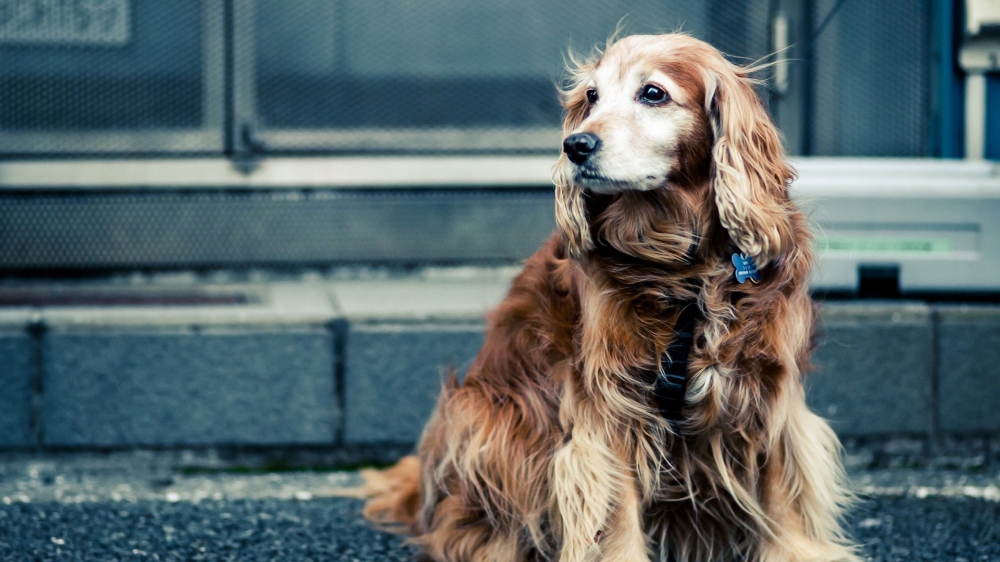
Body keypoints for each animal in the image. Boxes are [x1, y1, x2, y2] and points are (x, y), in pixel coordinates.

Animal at [354, 34, 860, 560]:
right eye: (592, 97)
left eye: (653, 93)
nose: (575, 145)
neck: (684, 270)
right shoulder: (608, 404)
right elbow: (615, 511)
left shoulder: (767, 387)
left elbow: (781, 495)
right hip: (486, 417)